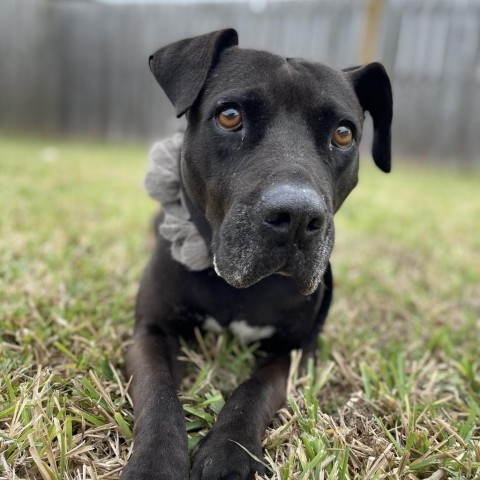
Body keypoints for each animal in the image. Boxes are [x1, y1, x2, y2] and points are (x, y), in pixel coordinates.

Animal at [122, 28, 392, 478]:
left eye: (343, 134)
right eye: (230, 116)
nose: (297, 217)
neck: (234, 286)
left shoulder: (294, 352)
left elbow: (255, 390)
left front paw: (230, 451)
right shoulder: (151, 331)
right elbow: (158, 394)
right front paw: (153, 464)